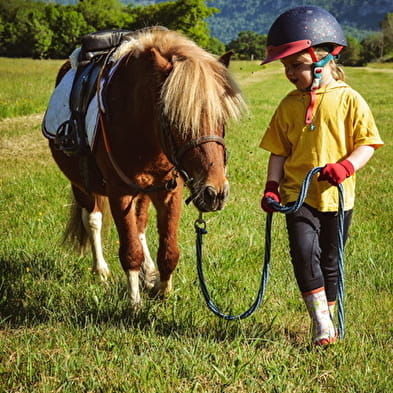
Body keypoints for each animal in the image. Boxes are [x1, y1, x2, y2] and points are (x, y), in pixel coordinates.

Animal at [46, 28, 245, 310]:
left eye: (221, 119)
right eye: (175, 120)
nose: (215, 193)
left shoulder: (169, 190)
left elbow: (169, 250)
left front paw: (163, 291)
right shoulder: (119, 193)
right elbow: (129, 251)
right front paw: (134, 304)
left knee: (139, 225)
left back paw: (148, 272)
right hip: (81, 185)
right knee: (93, 220)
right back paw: (101, 270)